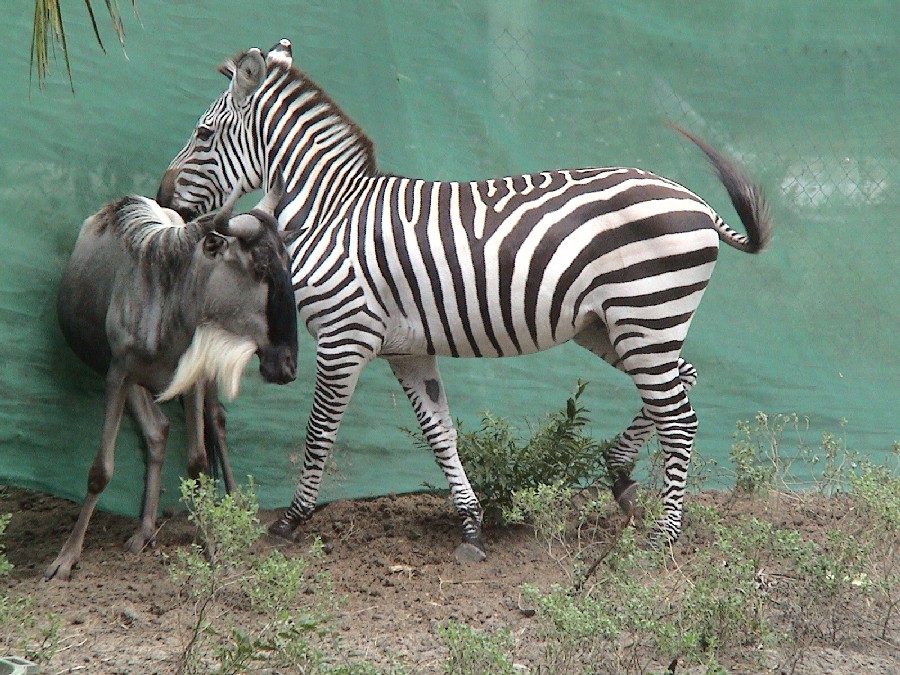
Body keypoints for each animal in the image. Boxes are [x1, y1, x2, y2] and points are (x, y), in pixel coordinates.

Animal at [157, 40, 772, 560]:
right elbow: (441, 433)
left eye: (204, 135)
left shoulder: (344, 337)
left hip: (645, 316)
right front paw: (472, 527)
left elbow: (318, 436)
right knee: (683, 382)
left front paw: (290, 521)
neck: (331, 210)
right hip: (616, 327)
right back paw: (620, 475)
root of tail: (697, 202)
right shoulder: (406, 349)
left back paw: (664, 538)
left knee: (681, 418)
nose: (164, 200)